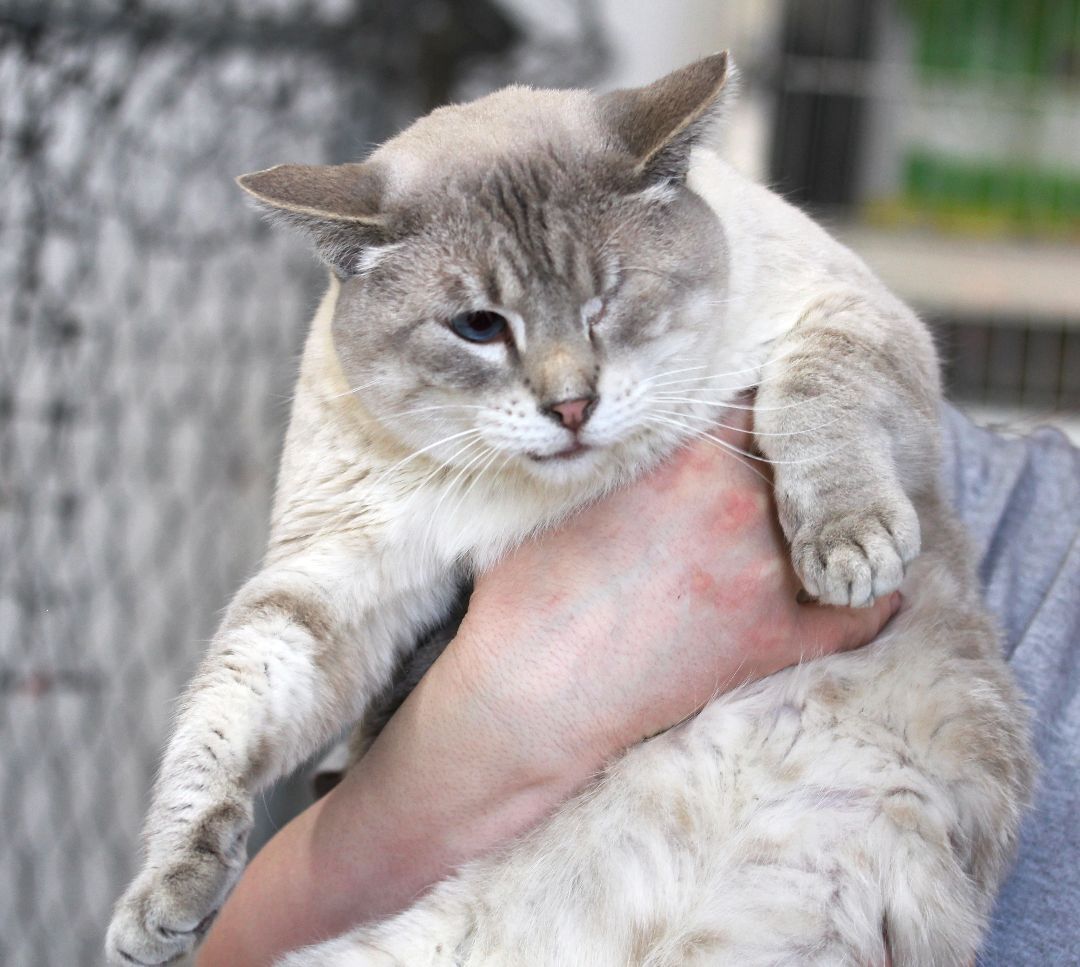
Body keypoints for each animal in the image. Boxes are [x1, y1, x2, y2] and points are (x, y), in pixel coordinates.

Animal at [105, 54, 1032, 967]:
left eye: (606, 300)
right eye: (479, 326)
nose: (573, 405)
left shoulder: (856, 317)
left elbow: (810, 396)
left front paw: (846, 552)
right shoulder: (334, 572)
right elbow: (226, 714)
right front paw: (161, 903)